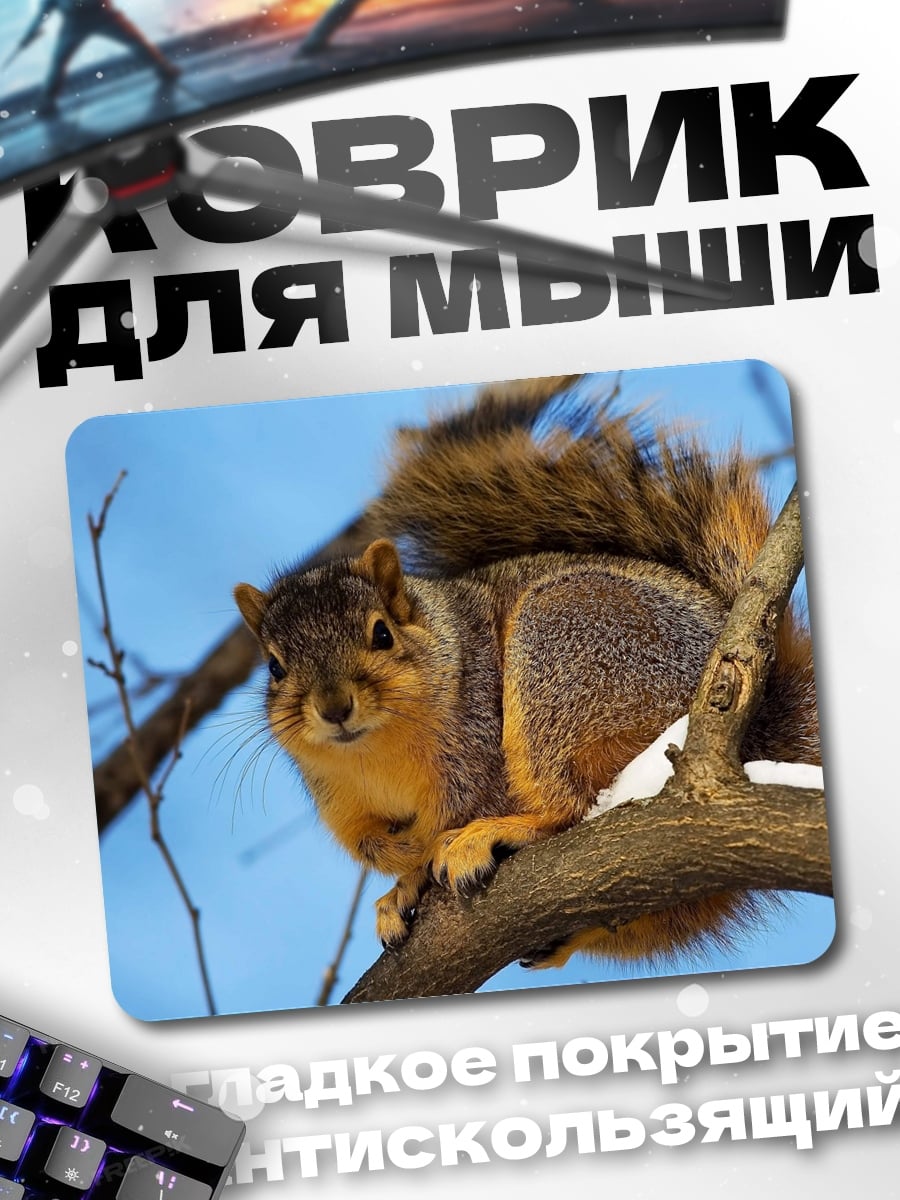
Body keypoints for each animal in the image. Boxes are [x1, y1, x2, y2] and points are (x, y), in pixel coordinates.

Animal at [233, 374, 819, 968]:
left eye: (382, 634)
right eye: (275, 667)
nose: (334, 708)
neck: (375, 756)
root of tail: (756, 727)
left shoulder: (476, 741)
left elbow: (466, 809)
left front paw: (427, 861)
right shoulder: (343, 803)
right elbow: (376, 845)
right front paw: (402, 881)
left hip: (565, 649)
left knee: (569, 806)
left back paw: (496, 835)